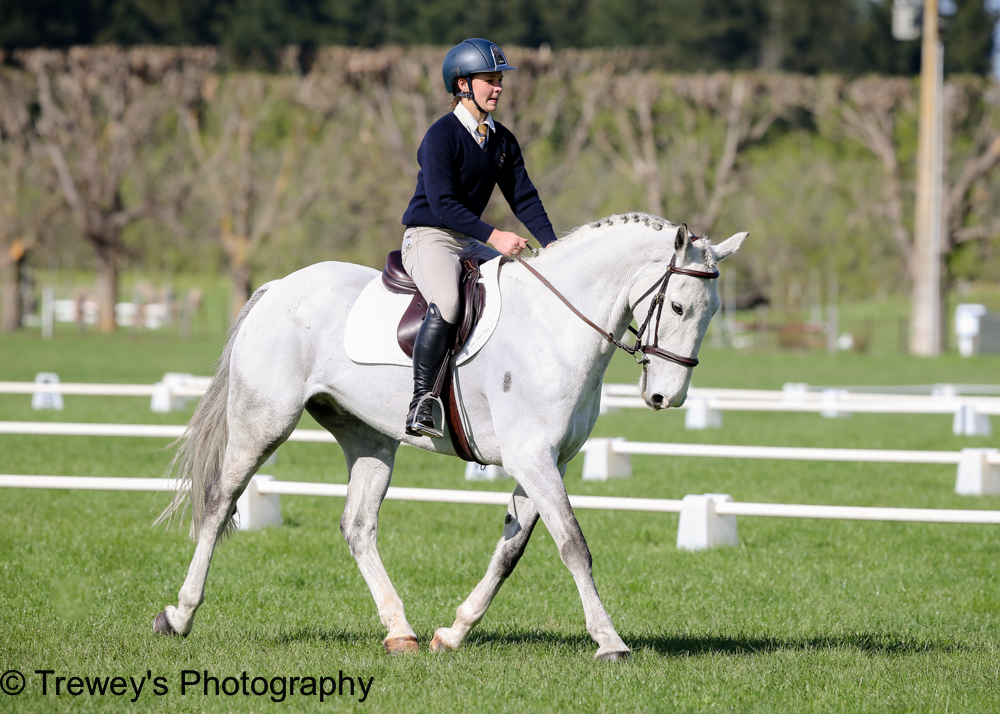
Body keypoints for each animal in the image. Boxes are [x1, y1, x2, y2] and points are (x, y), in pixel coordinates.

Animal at [156, 213, 748, 660]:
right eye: (677, 306)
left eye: (714, 311)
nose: (666, 398)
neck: (555, 328)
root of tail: (279, 286)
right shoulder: (534, 459)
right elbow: (573, 546)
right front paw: (610, 642)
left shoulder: (545, 461)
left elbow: (509, 553)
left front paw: (455, 632)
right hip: (263, 424)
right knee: (219, 504)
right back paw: (179, 615)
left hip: (369, 438)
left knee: (358, 527)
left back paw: (401, 632)